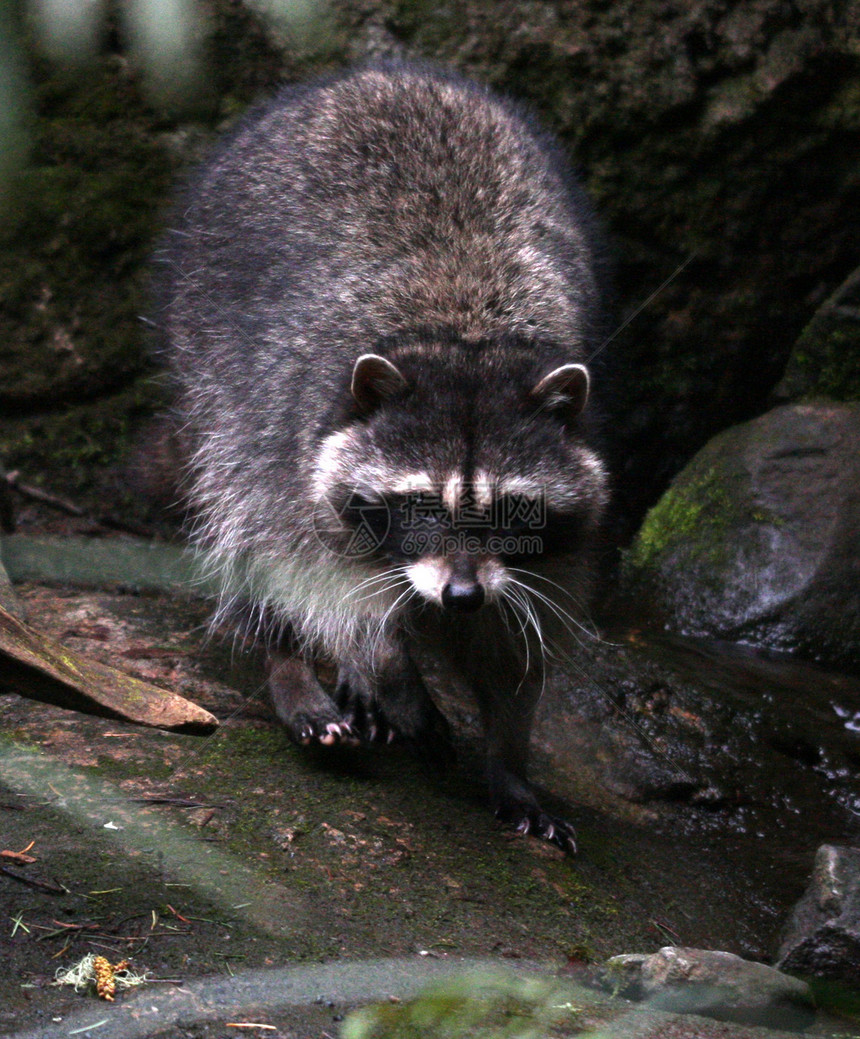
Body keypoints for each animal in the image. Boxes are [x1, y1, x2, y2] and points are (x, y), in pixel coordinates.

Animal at [157, 58, 606, 851]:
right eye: (422, 501)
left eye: (510, 509)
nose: (460, 596)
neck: (462, 334)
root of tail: (375, 72)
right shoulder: (296, 439)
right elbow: (329, 592)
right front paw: (388, 675)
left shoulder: (554, 548)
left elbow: (512, 646)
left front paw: (509, 760)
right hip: (210, 354)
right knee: (240, 511)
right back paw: (296, 671)